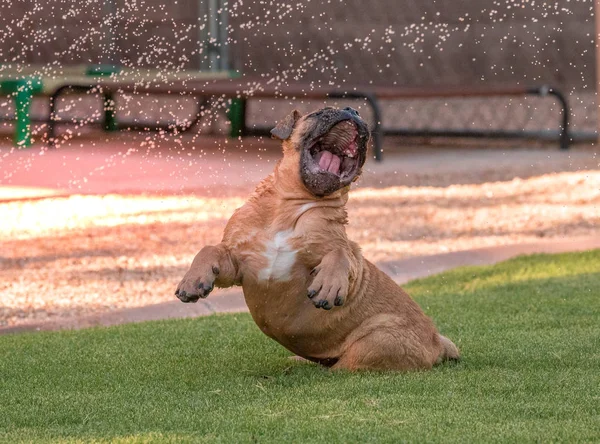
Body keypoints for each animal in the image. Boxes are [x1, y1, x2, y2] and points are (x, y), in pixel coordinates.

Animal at [175, 107, 460, 372]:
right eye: (320, 113)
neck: (290, 210)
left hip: (377, 340)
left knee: (345, 366)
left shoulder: (343, 251)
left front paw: (329, 284)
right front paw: (192, 281)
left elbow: (341, 253)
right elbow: (208, 249)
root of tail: (437, 342)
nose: (352, 110)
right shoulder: (240, 262)